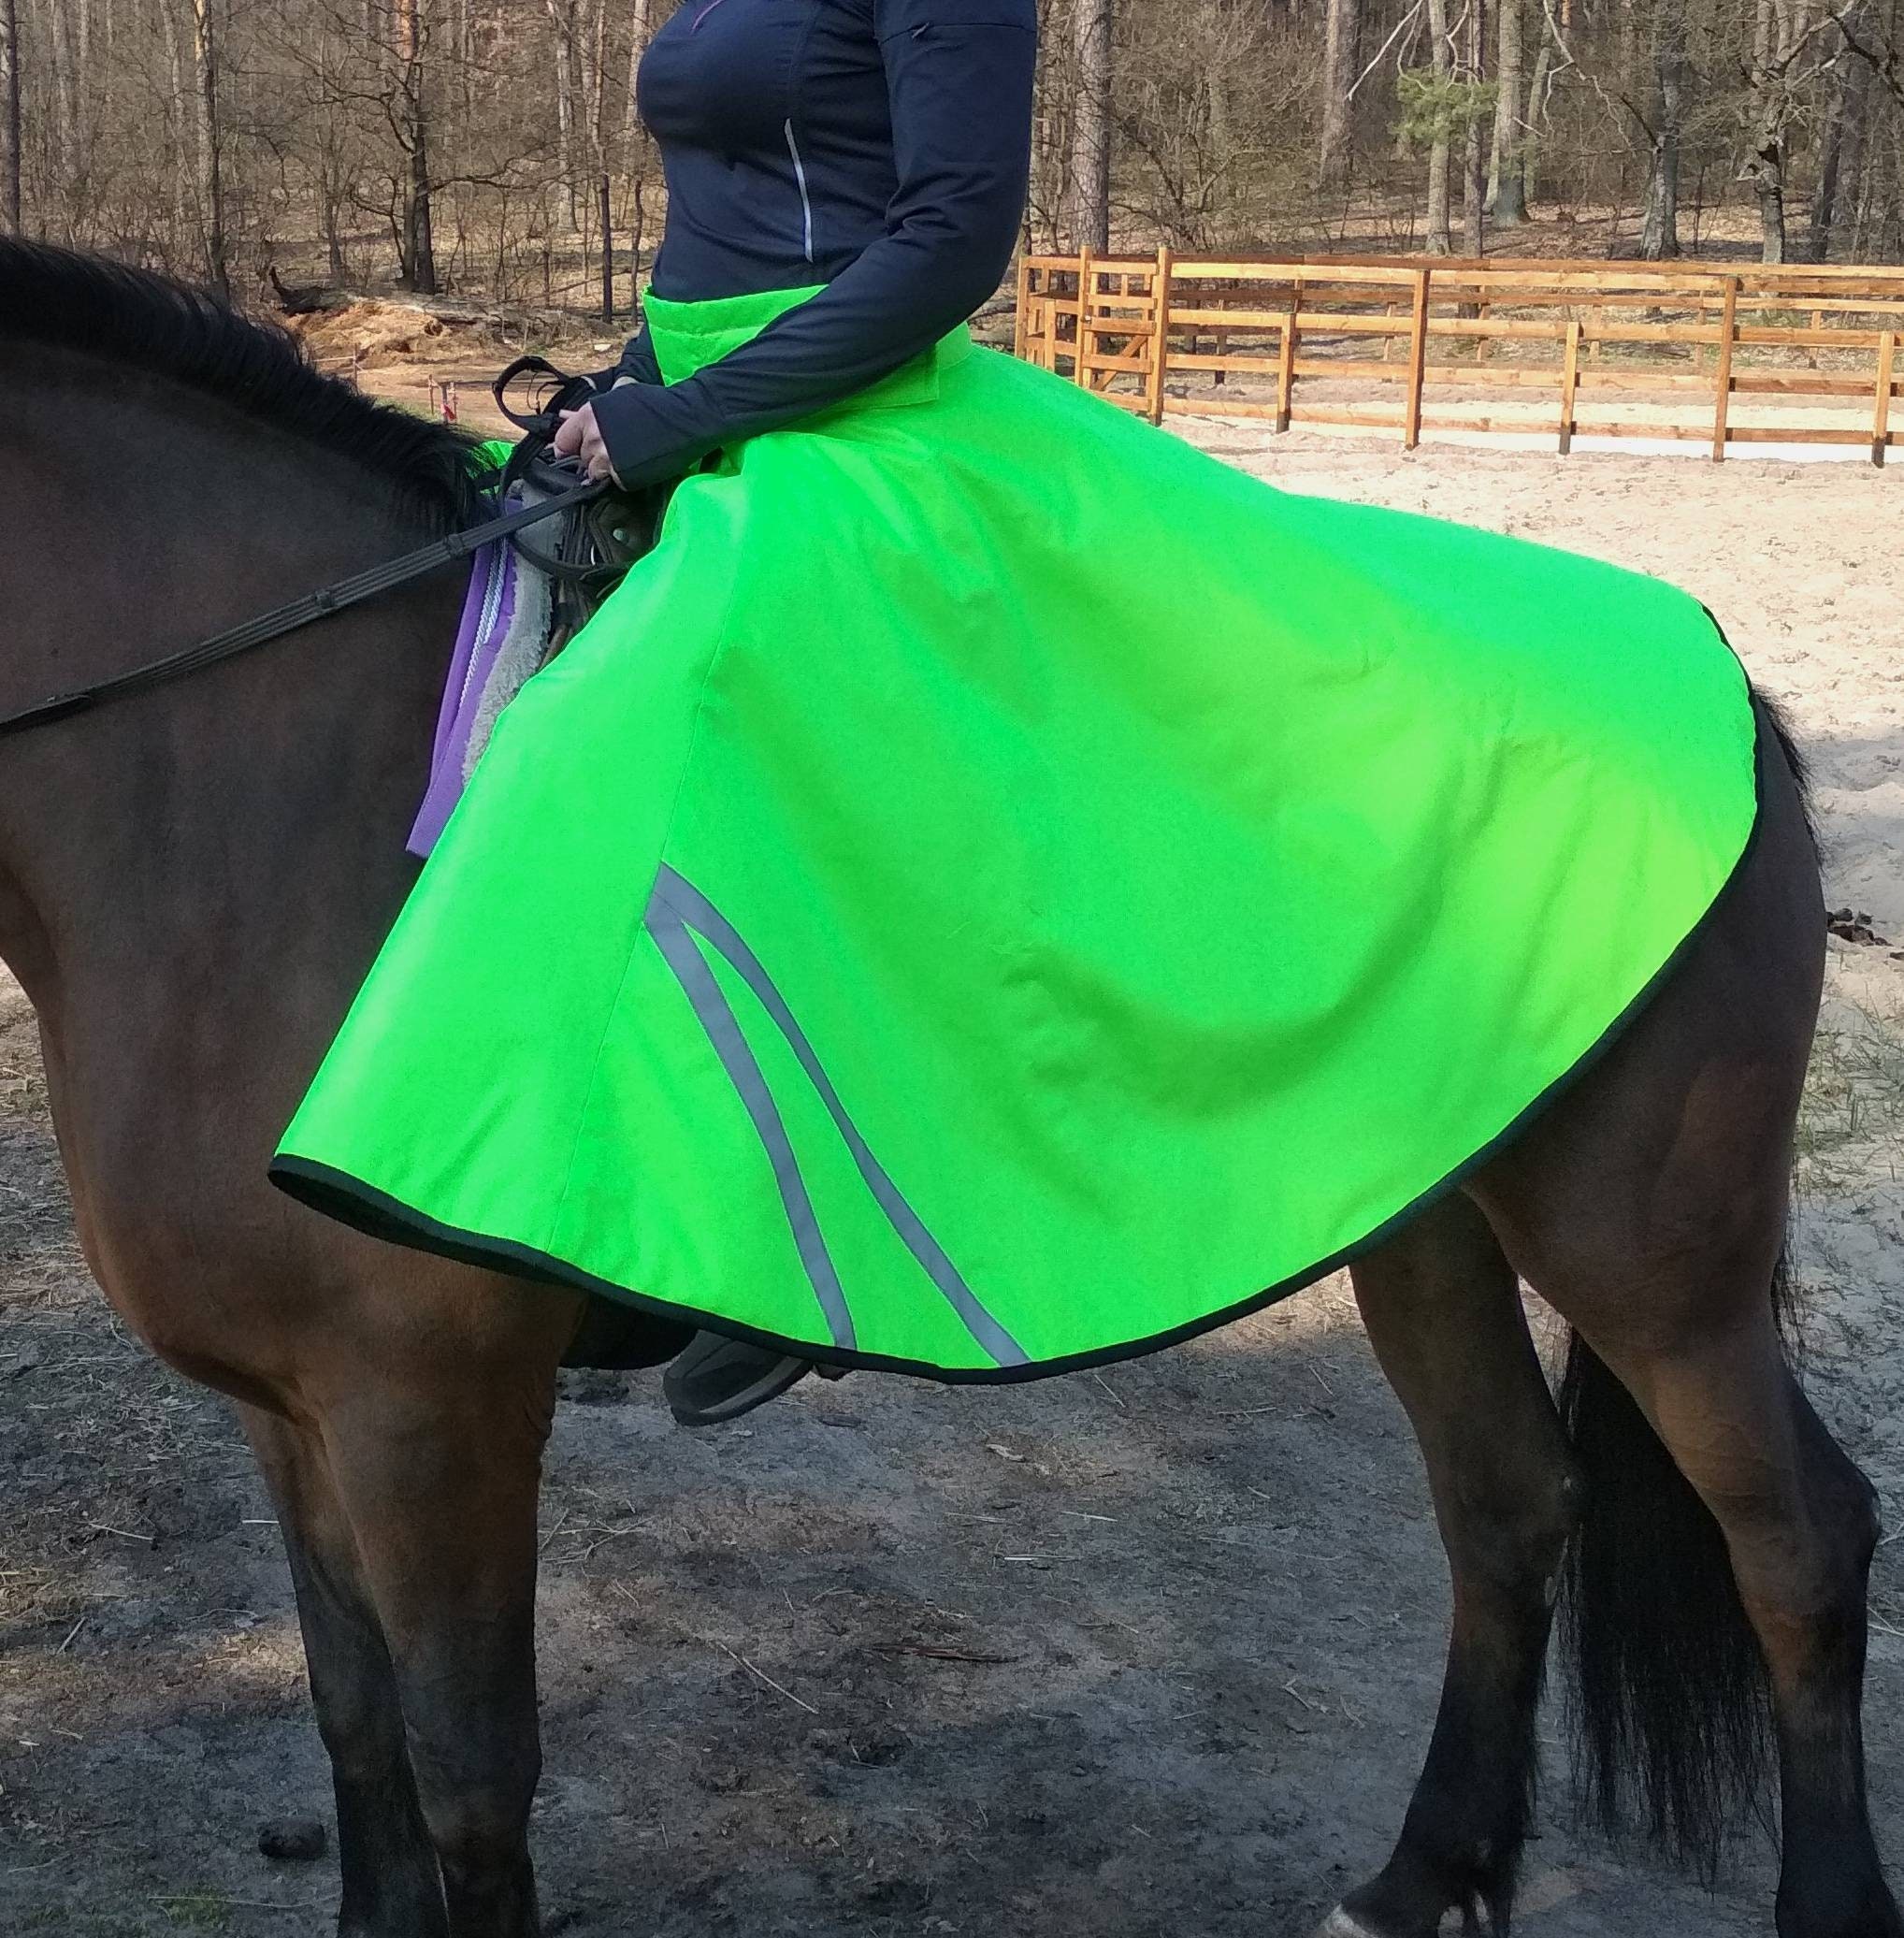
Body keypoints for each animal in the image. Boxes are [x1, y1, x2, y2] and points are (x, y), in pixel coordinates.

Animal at [0, 239, 1895, 1938]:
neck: (263, 787)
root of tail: (1728, 688)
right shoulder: (289, 1410)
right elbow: (354, 1727)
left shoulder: (431, 1410)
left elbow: (472, 1776)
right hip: (1422, 1210)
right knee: (1507, 1507)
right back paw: (1421, 1877)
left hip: (1650, 1254)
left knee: (1799, 1540)